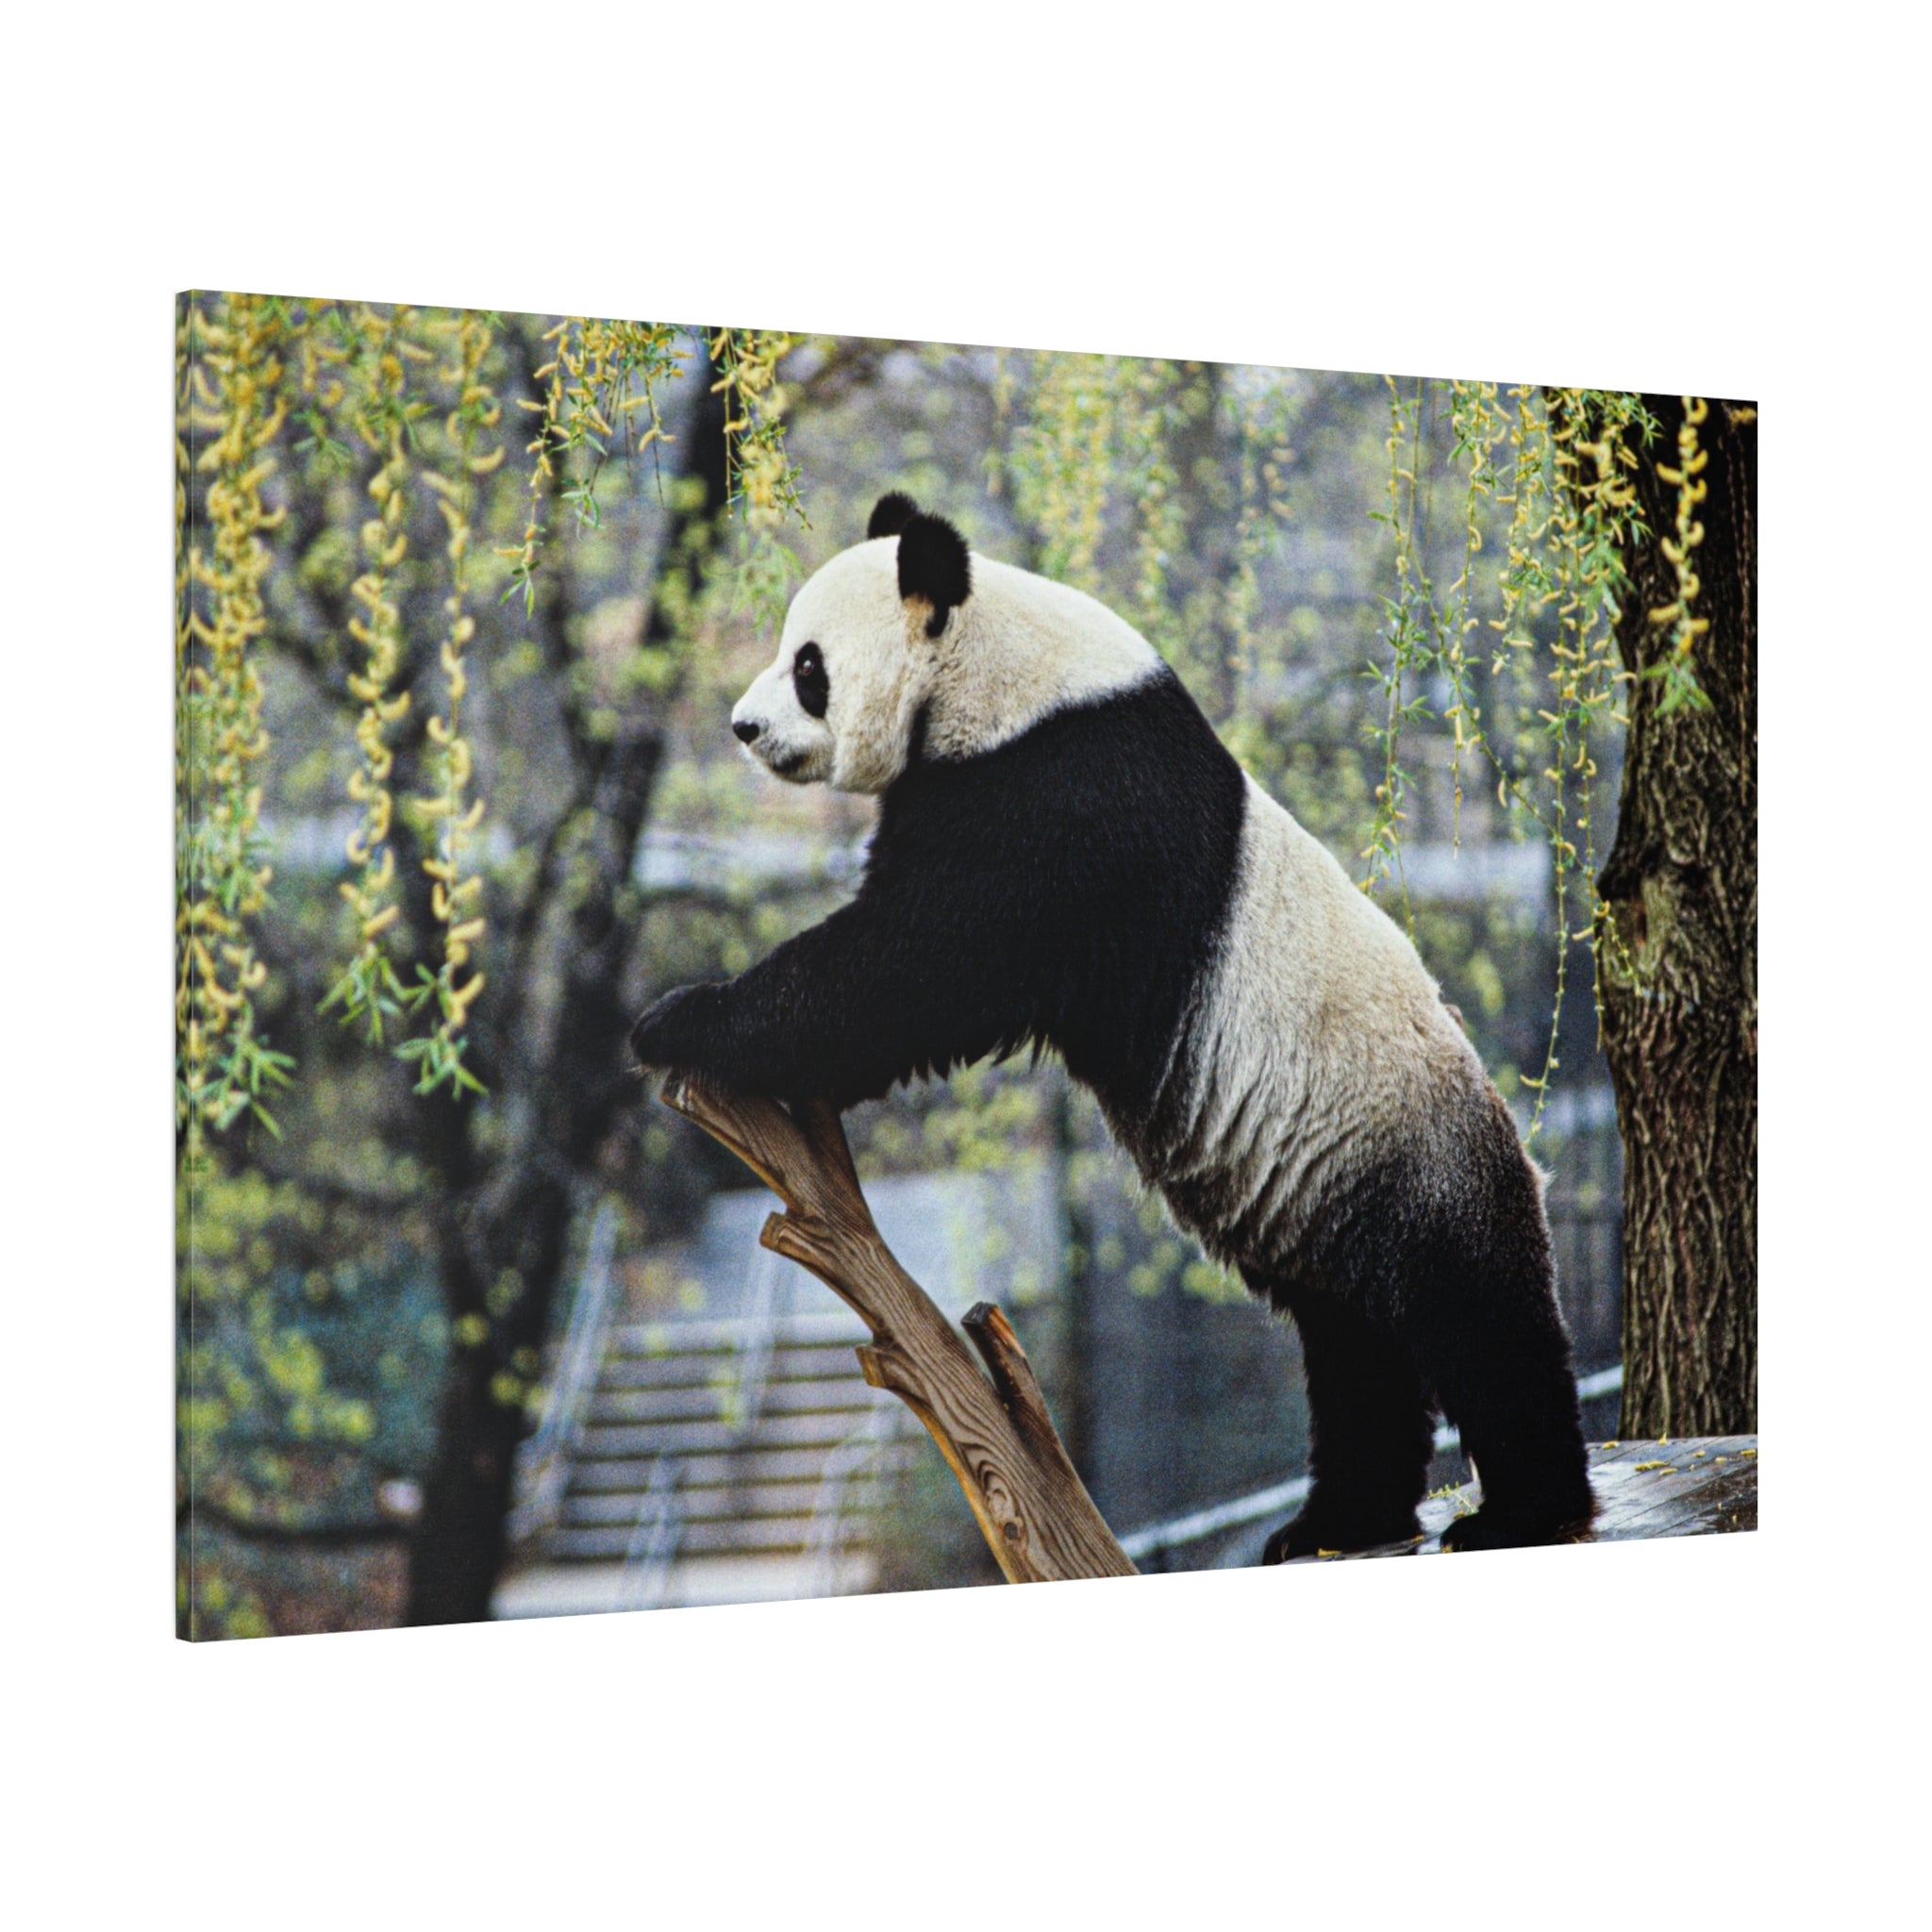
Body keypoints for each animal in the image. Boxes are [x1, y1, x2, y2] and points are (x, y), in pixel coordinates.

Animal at [631, 491, 1595, 1557]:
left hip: (1414, 1158)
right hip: (1332, 1192)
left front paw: (682, 1020)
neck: (999, 668)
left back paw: (1522, 1508)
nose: (743, 725)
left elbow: (914, 965)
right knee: (1353, 1348)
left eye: (809, 665)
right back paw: (1337, 1519)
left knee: (1478, 1321)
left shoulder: (1060, 797)